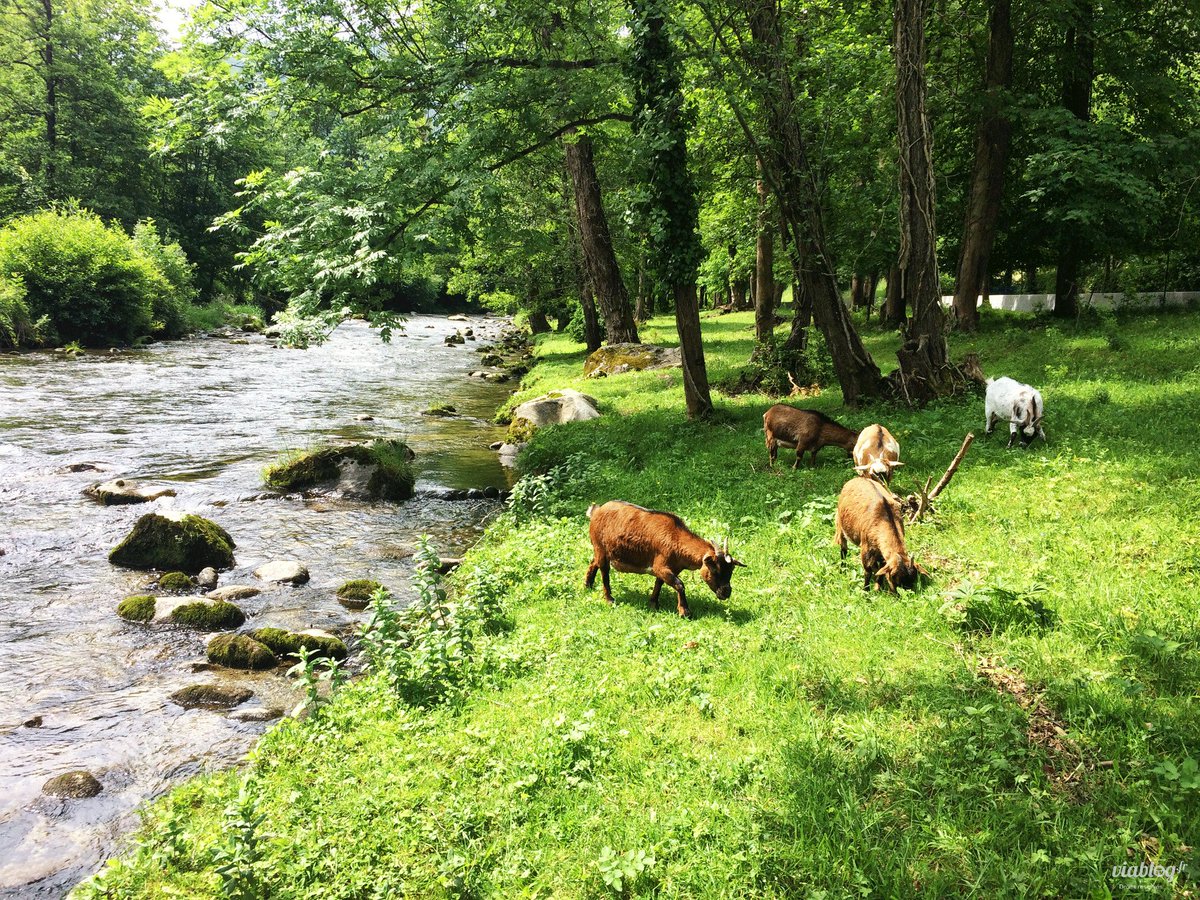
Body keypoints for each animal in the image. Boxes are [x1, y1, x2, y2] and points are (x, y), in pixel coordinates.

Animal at [588, 501, 744, 619]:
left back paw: (587, 585)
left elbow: (659, 583)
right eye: (715, 570)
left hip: (601, 550)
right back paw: (609, 599)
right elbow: (679, 584)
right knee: (604, 571)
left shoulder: (668, 569)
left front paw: (653, 604)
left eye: (731, 570)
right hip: (600, 547)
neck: (676, 538)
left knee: (593, 562)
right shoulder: (660, 565)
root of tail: (597, 511)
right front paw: (684, 612)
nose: (726, 592)